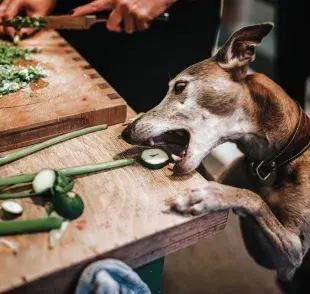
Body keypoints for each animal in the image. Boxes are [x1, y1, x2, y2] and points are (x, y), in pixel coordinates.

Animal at [121, 22, 310, 290]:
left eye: (180, 86)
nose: (126, 133)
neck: (272, 162)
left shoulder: (292, 256)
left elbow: (253, 198)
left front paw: (207, 197)